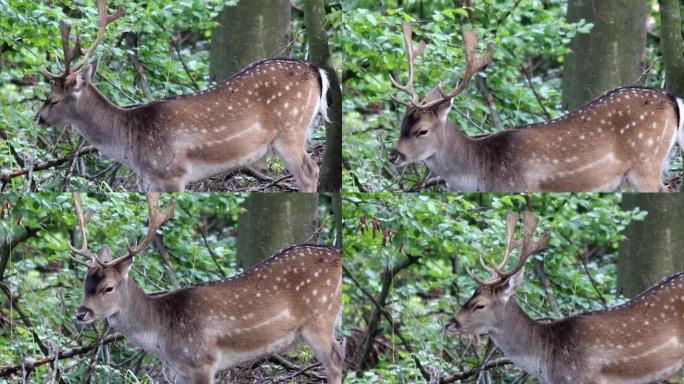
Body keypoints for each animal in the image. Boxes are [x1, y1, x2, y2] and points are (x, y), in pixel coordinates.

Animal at [34, 0, 328, 192]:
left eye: (54, 99)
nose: (38, 117)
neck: (130, 143)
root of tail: (317, 70)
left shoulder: (174, 173)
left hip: (290, 127)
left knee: (309, 171)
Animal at [71, 194, 342, 382]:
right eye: (85, 283)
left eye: (108, 288)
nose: (81, 313)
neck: (163, 337)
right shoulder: (177, 372)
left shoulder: (203, 361)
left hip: (320, 316)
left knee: (336, 361)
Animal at [388, 21, 680, 192]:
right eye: (401, 123)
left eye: (422, 131)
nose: (393, 155)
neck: (485, 172)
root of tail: (672, 98)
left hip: (646, 160)